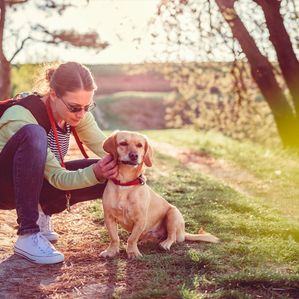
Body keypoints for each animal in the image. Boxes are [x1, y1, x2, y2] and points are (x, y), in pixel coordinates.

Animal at [99, 131, 219, 260]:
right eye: (123, 143)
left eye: (139, 145)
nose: (134, 155)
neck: (126, 184)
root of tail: (183, 233)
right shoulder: (109, 217)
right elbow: (114, 238)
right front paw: (111, 251)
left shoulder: (140, 220)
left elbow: (132, 239)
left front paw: (132, 252)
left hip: (173, 214)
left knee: (172, 237)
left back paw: (165, 244)